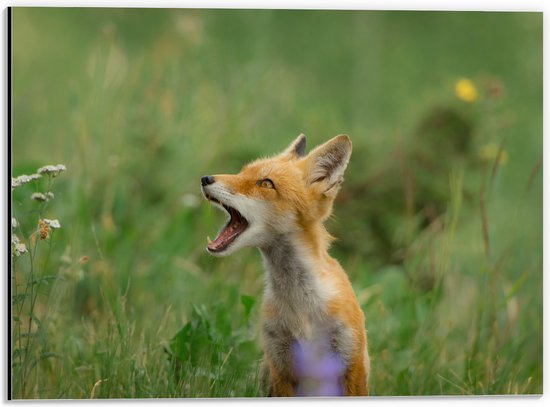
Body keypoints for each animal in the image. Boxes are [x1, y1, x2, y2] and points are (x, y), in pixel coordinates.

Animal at [203, 135, 370, 396]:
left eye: (266, 183)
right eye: (242, 172)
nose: (205, 179)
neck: (301, 305)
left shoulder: (351, 363)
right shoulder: (281, 367)